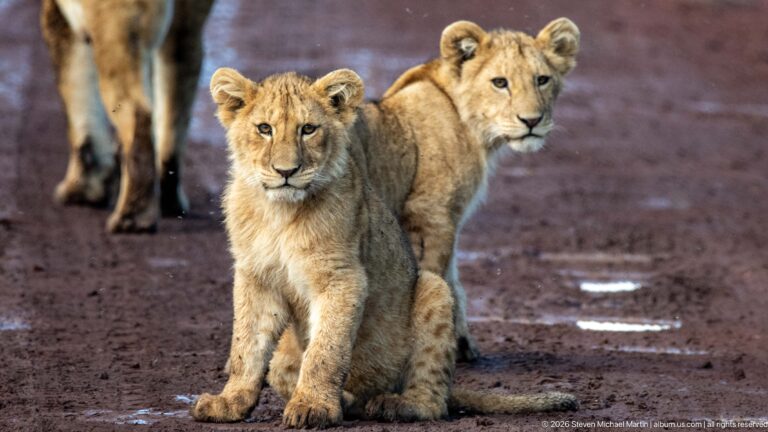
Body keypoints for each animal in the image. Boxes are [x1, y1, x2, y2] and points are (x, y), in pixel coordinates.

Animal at [40, 0, 213, 232]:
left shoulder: (58, 16)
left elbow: (76, 101)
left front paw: (83, 189)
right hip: (184, 32)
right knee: (174, 109)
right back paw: (169, 203)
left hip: (116, 24)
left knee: (138, 113)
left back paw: (132, 218)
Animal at [190, 67, 576, 427]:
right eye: (264, 129)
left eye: (308, 129)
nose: (286, 171)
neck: (279, 212)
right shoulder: (255, 277)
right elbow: (246, 346)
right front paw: (230, 403)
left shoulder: (342, 277)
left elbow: (326, 349)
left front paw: (313, 407)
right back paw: (349, 400)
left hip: (433, 288)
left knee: (434, 399)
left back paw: (395, 404)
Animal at [355, 18, 581, 361]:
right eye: (500, 82)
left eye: (542, 79)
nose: (532, 121)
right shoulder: (430, 213)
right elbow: (437, 275)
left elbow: (453, 278)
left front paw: (461, 346)